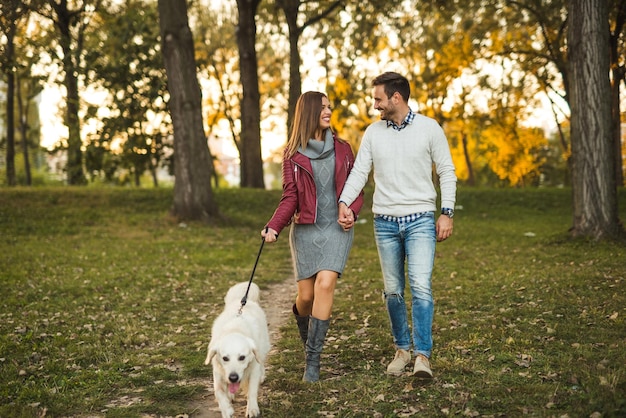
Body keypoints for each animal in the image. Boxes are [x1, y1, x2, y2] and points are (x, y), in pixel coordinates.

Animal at [205, 280, 268, 418]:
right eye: (225, 358)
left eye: (242, 357)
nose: (233, 378)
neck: (234, 329)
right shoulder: (218, 372)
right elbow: (218, 392)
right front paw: (226, 409)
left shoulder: (253, 369)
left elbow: (252, 391)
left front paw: (252, 409)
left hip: (263, 348)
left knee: (262, 362)